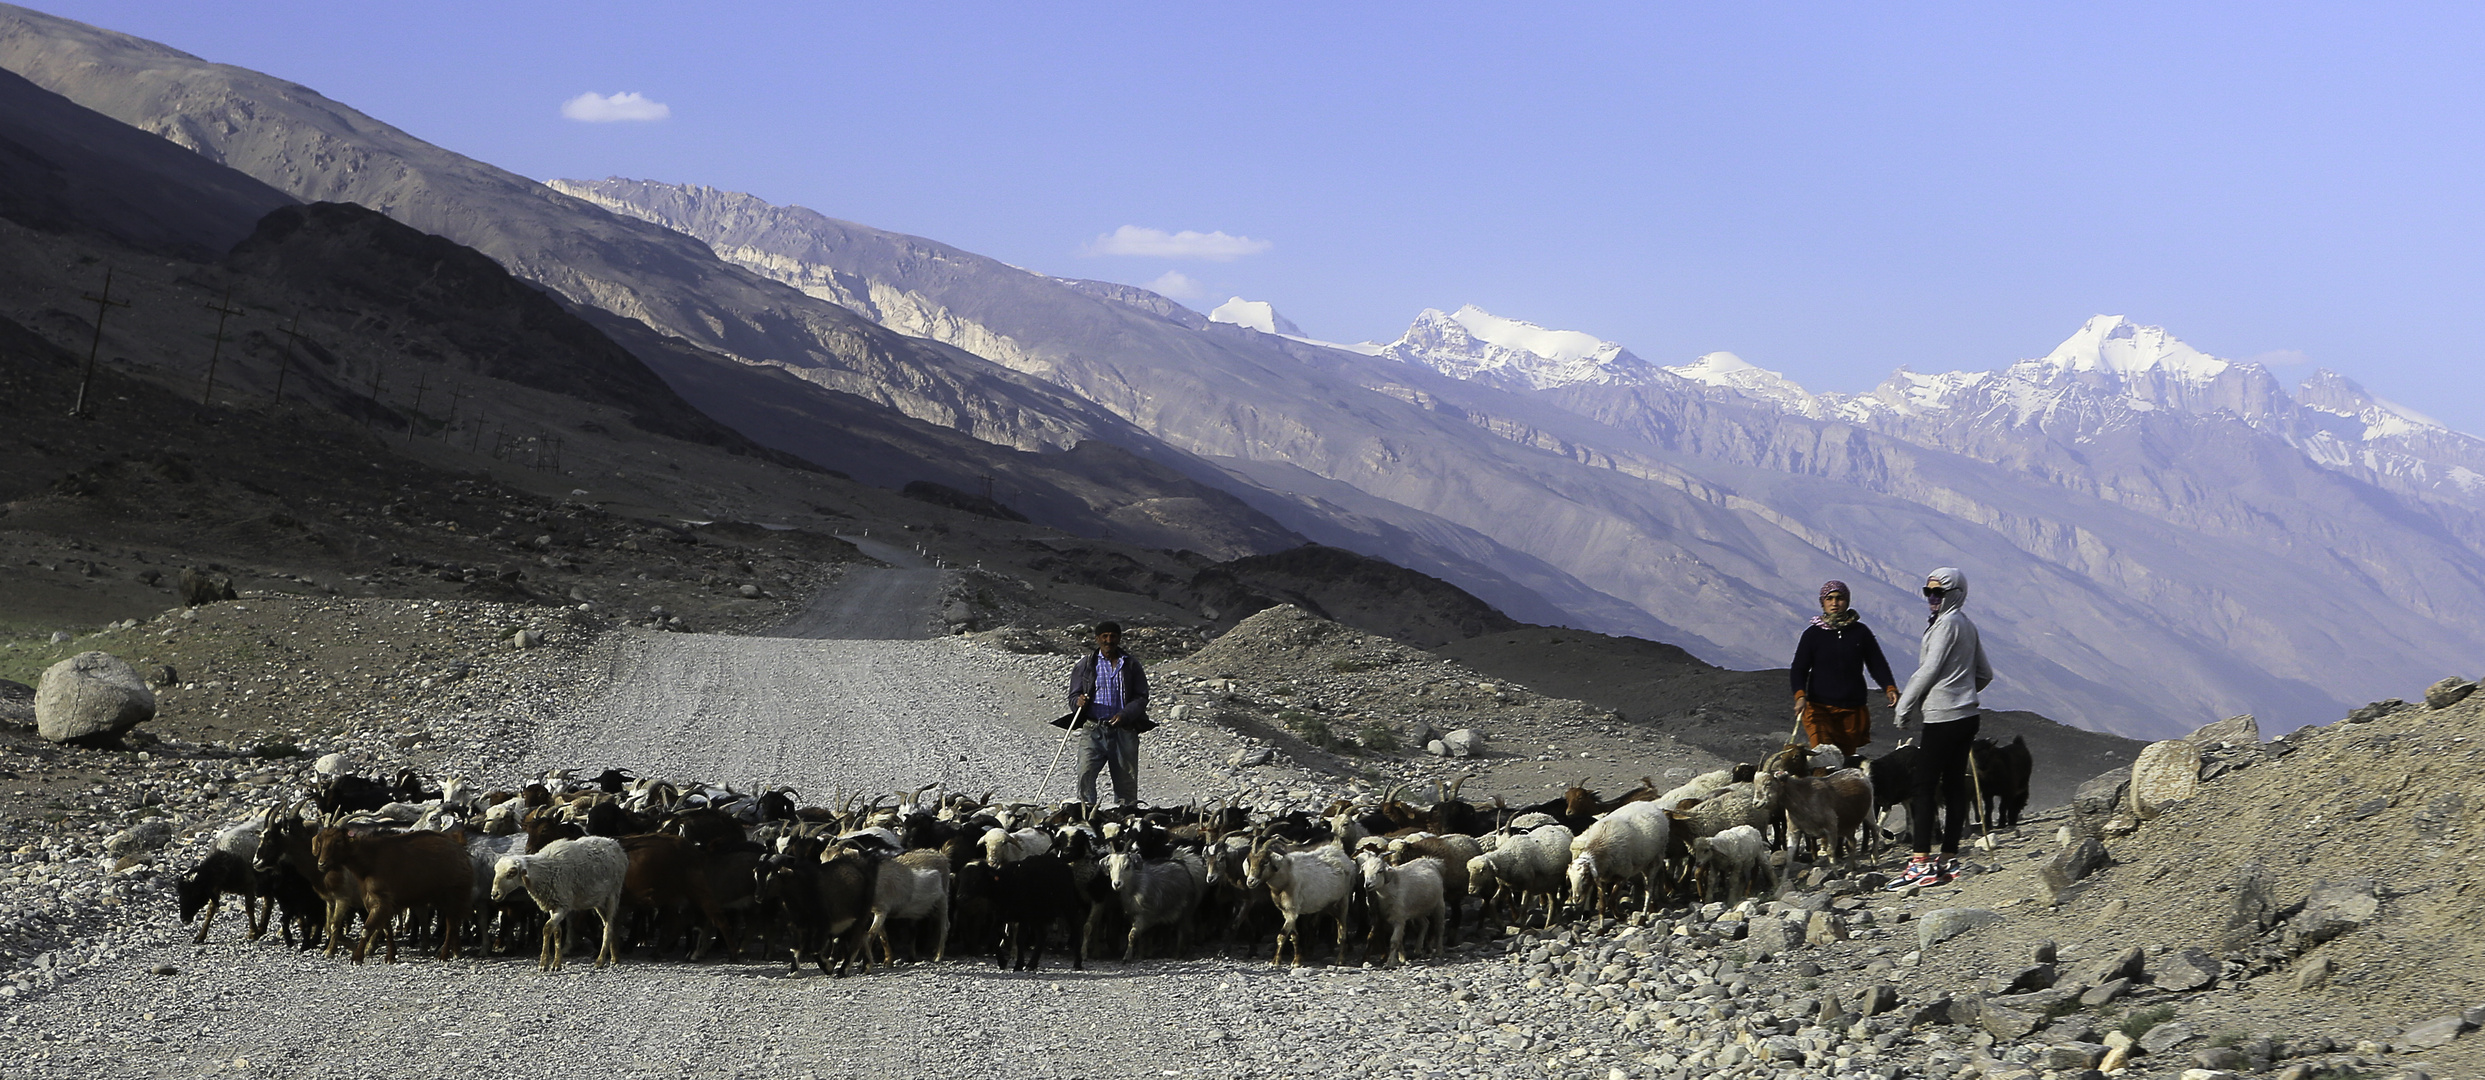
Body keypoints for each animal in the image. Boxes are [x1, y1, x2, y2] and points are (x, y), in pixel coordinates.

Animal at [313, 829, 472, 963]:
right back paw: (455, 952)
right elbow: (386, 929)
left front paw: (357, 957)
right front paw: (390, 956)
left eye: (339, 841)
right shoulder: (378, 902)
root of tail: (459, 847)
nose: (321, 864)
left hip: (452, 895)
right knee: (452, 923)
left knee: (451, 925)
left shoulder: (381, 900)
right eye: (321, 841)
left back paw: (443, 955)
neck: (369, 861)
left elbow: (366, 930)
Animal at [492, 839, 631, 973]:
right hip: (599, 900)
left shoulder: (563, 906)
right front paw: (556, 964)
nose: (494, 894)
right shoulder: (553, 905)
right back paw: (615, 957)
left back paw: (600, 961)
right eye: (495, 871)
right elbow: (557, 931)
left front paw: (543, 964)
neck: (544, 871)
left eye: (511, 873)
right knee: (609, 923)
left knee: (608, 926)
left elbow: (547, 928)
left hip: (613, 893)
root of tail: (615, 844)